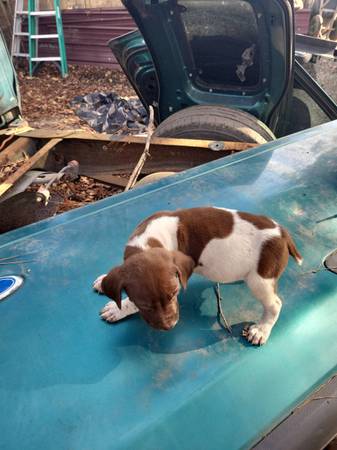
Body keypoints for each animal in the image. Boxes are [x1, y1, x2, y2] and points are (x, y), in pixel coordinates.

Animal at [92, 207, 302, 344]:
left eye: (174, 294)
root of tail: (282, 233)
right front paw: (104, 282)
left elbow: (128, 302)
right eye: (146, 305)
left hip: (260, 280)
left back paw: (261, 330)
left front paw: (118, 309)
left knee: (274, 304)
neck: (147, 241)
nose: (170, 325)